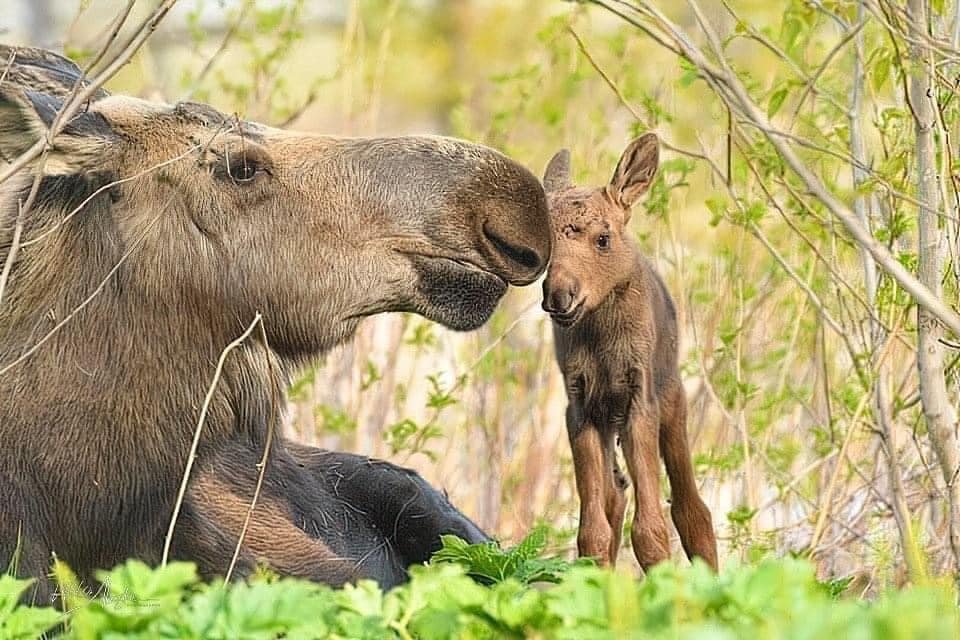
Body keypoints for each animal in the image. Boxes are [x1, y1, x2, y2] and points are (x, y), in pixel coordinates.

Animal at [540, 133, 718, 572]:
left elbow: (651, 532)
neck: (604, 342)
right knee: (615, 494)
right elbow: (592, 533)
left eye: (603, 238)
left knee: (692, 508)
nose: (560, 295)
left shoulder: (640, 399)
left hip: (672, 401)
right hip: (609, 421)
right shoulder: (580, 405)